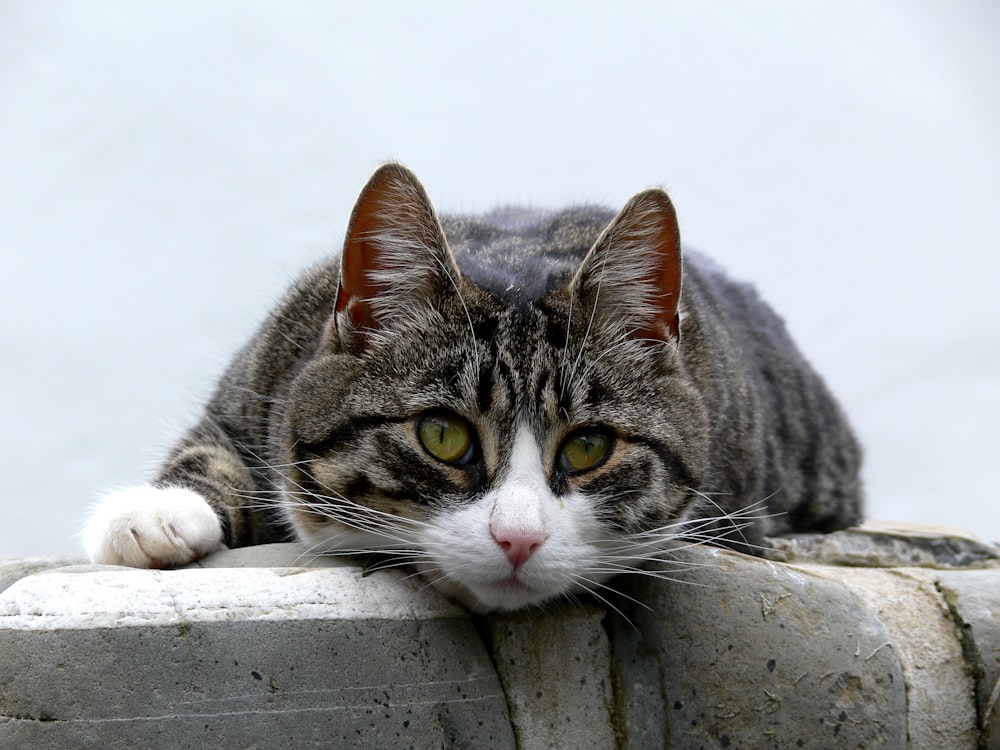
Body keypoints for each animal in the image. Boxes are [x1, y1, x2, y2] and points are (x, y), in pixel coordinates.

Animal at [82, 163, 864, 612]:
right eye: (443, 434)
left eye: (588, 447)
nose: (517, 539)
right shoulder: (263, 376)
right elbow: (207, 450)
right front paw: (152, 514)